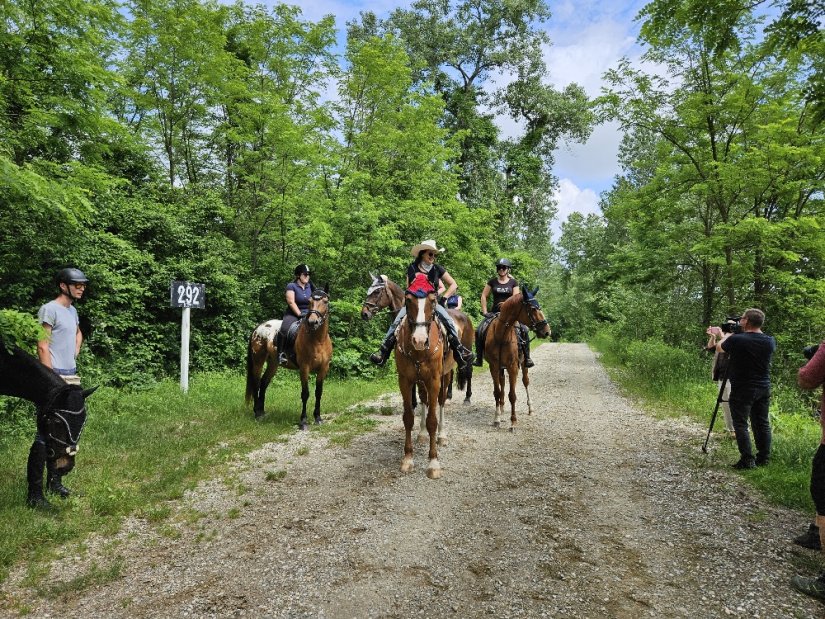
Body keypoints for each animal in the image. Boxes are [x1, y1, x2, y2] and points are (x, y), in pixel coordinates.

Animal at [245, 286, 332, 428]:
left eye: (325, 301)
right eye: (310, 301)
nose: (312, 322)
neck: (318, 340)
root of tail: (259, 327)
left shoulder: (323, 368)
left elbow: (318, 392)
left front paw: (318, 418)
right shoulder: (304, 368)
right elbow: (305, 393)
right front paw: (303, 421)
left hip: (273, 363)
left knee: (263, 382)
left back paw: (262, 412)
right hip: (258, 361)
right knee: (256, 384)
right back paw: (257, 413)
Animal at [480, 290, 552, 432]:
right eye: (533, 309)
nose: (547, 331)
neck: (502, 336)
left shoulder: (513, 367)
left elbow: (512, 395)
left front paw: (513, 422)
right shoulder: (494, 367)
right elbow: (497, 392)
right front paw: (497, 418)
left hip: (523, 364)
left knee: (526, 382)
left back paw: (530, 409)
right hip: (501, 368)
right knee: (502, 383)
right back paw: (502, 410)